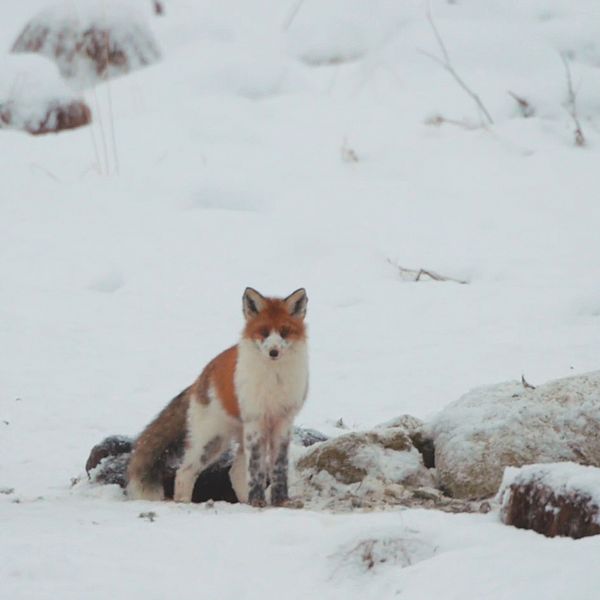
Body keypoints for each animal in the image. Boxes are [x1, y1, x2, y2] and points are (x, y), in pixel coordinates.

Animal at [124, 286, 308, 506]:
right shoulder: (256, 421)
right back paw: (184, 503)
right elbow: (256, 471)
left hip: (234, 439)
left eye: (284, 332)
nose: (273, 352)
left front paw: (280, 502)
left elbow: (279, 469)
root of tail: (200, 379)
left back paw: (244, 501)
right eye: (263, 332)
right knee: (184, 472)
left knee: (234, 473)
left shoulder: (283, 421)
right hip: (212, 441)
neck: (275, 380)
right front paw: (258, 502)